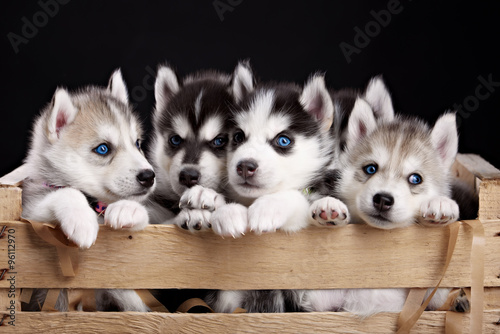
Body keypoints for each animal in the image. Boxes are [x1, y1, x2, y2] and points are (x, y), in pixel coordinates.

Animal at [23, 69, 154, 312]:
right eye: (103, 149)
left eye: (137, 143)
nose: (149, 176)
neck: (96, 203)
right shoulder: (30, 209)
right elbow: (67, 192)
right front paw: (82, 221)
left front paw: (127, 209)